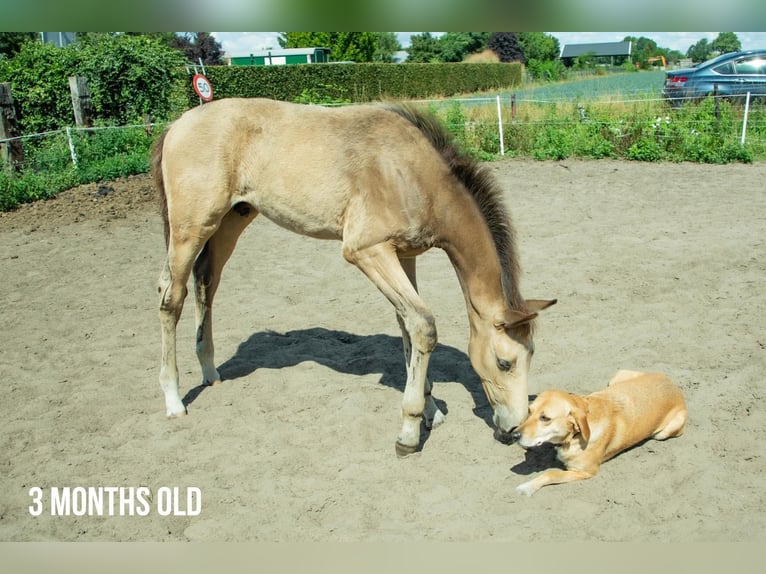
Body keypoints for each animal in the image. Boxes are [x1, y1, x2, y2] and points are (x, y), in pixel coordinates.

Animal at [152, 98, 555, 456]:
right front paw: (409, 432)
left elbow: (408, 328)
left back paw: (210, 371)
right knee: (171, 296)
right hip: (191, 229)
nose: (514, 430)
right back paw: (172, 399)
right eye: (505, 362)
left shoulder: (403, 256)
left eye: (531, 355)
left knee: (206, 281)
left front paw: (429, 410)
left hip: (231, 220)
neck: (413, 174)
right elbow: (423, 325)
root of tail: (176, 126)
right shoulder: (367, 251)